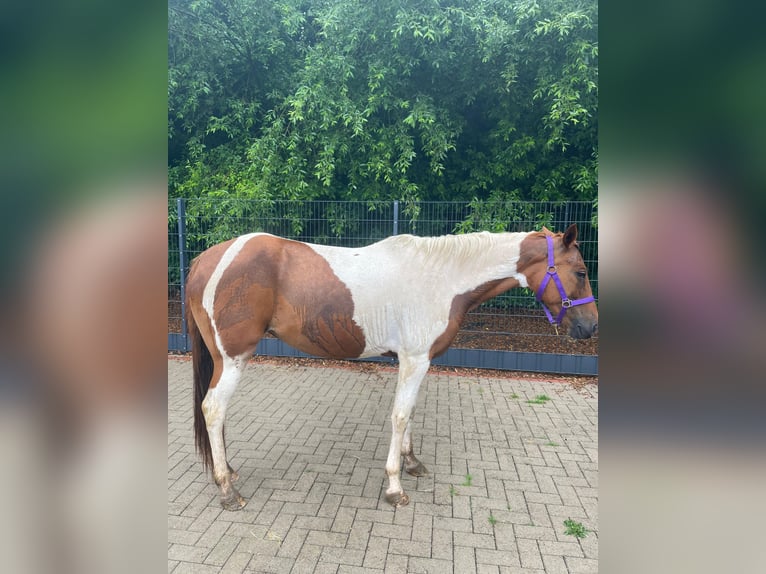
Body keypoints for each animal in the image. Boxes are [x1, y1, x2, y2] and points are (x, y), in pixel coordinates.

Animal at [185, 224, 598, 510]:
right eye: (580, 271)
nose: (589, 327)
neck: (441, 278)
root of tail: (206, 260)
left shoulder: (417, 361)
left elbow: (410, 412)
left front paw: (412, 462)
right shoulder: (414, 359)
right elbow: (399, 416)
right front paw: (395, 486)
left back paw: (230, 470)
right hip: (233, 358)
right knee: (214, 408)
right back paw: (228, 489)